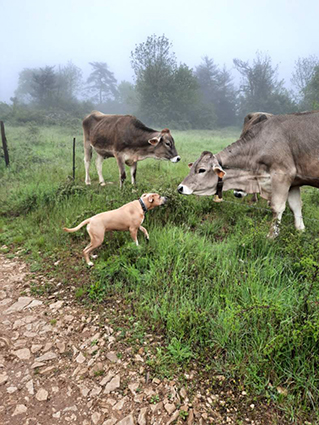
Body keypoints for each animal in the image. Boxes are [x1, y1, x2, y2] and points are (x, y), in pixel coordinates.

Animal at [179, 110, 319, 235]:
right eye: (191, 168)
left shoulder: (282, 175)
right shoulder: (294, 182)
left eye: (201, 170)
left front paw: (271, 236)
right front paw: (300, 232)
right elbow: (296, 206)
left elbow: (277, 207)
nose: (180, 188)